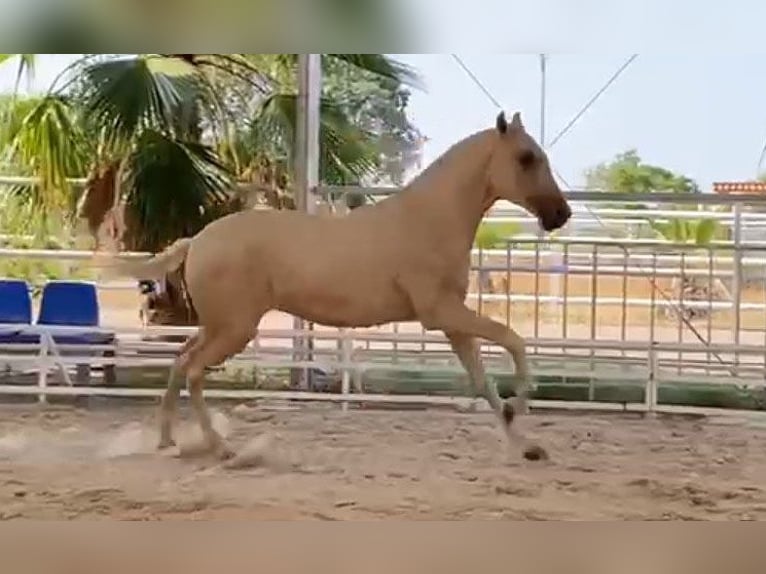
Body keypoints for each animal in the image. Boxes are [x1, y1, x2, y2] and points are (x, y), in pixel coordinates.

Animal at [103, 111, 568, 464]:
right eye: (526, 157)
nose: (560, 214)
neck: (431, 218)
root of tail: (197, 241)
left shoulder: (454, 324)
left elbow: (484, 382)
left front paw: (528, 447)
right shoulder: (441, 314)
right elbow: (513, 341)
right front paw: (520, 407)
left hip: (217, 326)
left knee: (180, 361)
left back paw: (168, 440)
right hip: (234, 329)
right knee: (194, 370)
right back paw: (221, 449)